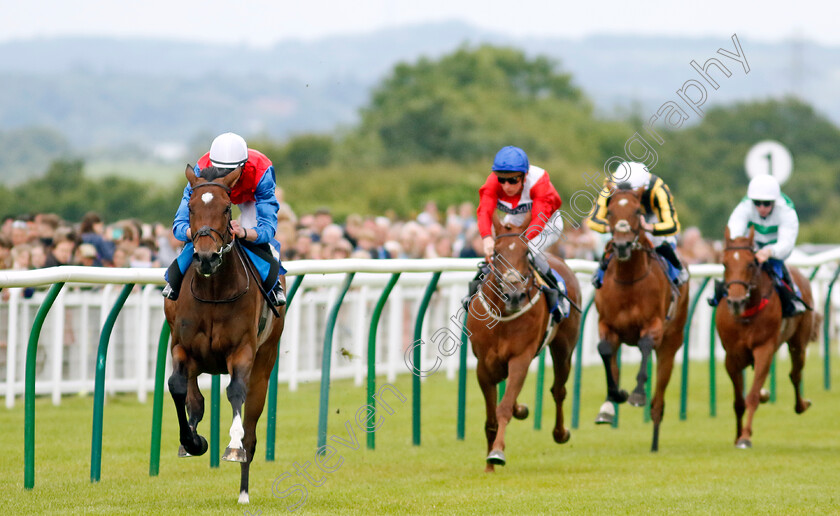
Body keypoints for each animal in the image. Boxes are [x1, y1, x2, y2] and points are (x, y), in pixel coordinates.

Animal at [162, 165, 288, 504]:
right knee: (195, 399)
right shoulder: (181, 347)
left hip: (265, 362)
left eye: (226, 208)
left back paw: (243, 490)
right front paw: (192, 441)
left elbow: (235, 393)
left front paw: (233, 446)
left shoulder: (242, 351)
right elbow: (178, 388)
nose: (206, 257)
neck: (214, 292)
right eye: (191, 208)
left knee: (252, 425)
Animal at [466, 214, 584, 472]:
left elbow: (503, 408)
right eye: (496, 252)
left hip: (564, 348)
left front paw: (497, 453)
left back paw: (561, 432)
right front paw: (488, 465)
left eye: (526, 252)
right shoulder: (483, 366)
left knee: (558, 390)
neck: (502, 316)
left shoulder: (521, 358)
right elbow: (491, 417)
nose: (514, 295)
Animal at [592, 185, 684, 452]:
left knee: (659, 398)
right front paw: (614, 397)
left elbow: (644, 346)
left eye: (637, 211)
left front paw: (636, 394)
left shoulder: (653, 325)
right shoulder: (606, 324)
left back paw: (654, 440)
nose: (622, 245)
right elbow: (604, 351)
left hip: (671, 344)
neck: (628, 280)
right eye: (611, 211)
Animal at [716, 228, 820, 450]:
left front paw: (745, 437)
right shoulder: (731, 356)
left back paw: (801, 404)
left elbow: (752, 396)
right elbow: (739, 401)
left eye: (750, 263)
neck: (746, 315)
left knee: (795, 374)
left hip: (798, 344)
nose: (736, 301)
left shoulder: (764, 348)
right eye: (724, 264)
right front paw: (737, 435)